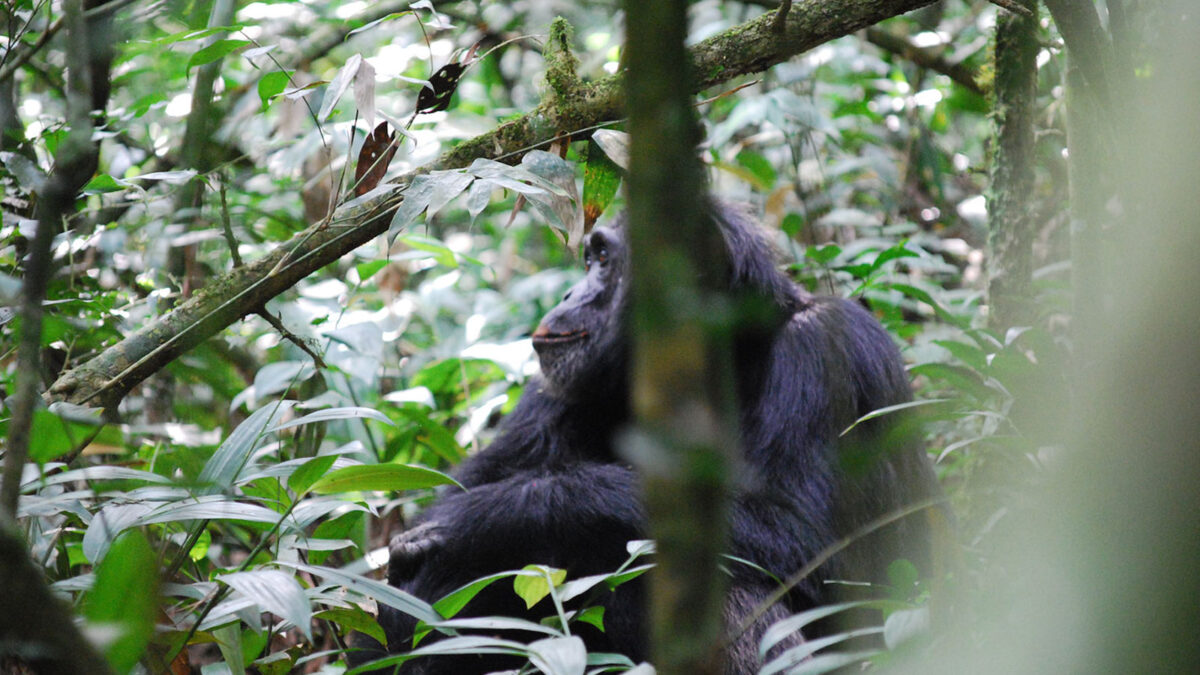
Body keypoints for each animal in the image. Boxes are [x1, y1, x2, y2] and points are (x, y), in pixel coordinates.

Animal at [350, 204, 940, 672]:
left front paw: (486, 515)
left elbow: (811, 542)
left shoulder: (825, 351)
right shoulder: (557, 392)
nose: (572, 290)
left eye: (603, 260)